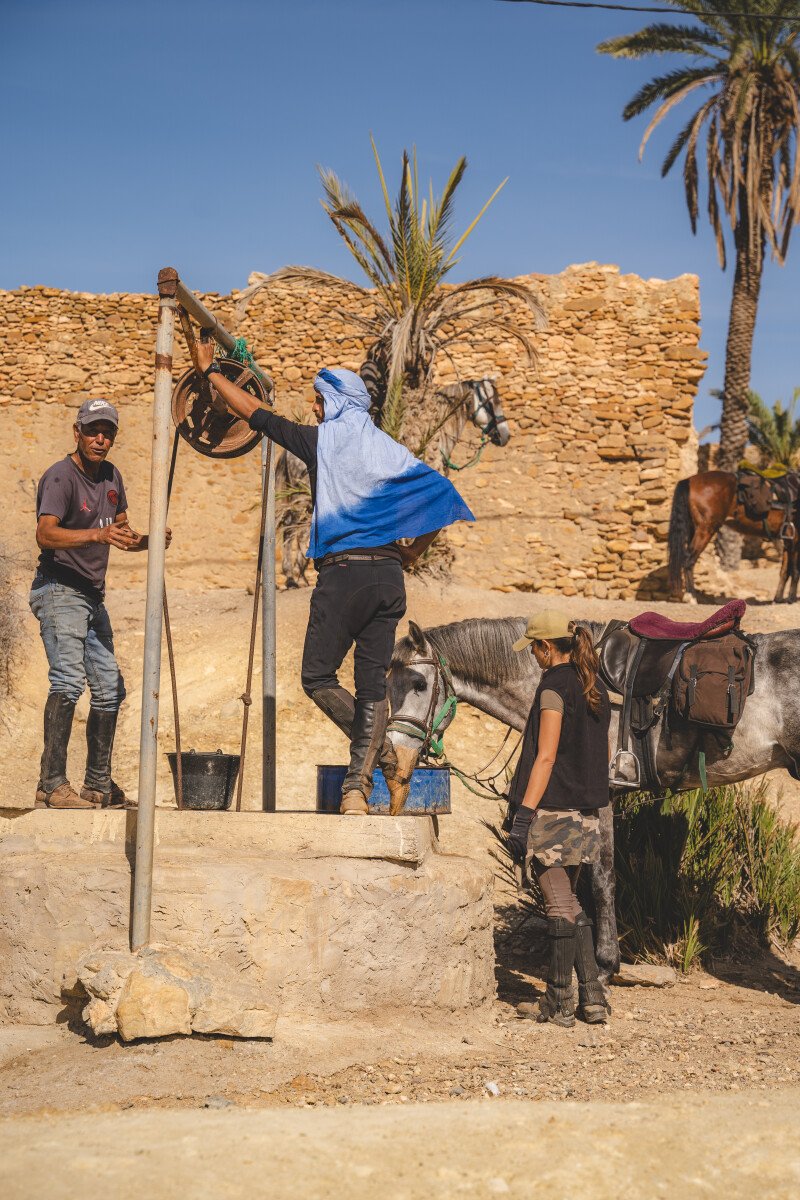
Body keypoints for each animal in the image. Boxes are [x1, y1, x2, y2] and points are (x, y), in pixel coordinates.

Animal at [277, 376, 513, 588]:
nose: (504, 436)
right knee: (292, 529)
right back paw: (293, 578)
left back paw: (297, 577)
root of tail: (288, 455)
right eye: (493, 400)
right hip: (301, 499)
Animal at [391, 614, 800, 979]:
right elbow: (572, 875)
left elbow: (601, 878)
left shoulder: (600, 797)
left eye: (418, 683)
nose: (392, 756)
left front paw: (604, 965)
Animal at [671, 468, 800, 600]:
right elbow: (795, 571)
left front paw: (778, 598)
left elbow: (785, 571)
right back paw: (691, 595)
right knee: (689, 560)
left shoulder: (788, 540)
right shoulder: (795, 539)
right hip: (705, 529)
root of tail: (690, 480)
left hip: (694, 528)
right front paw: (791, 598)